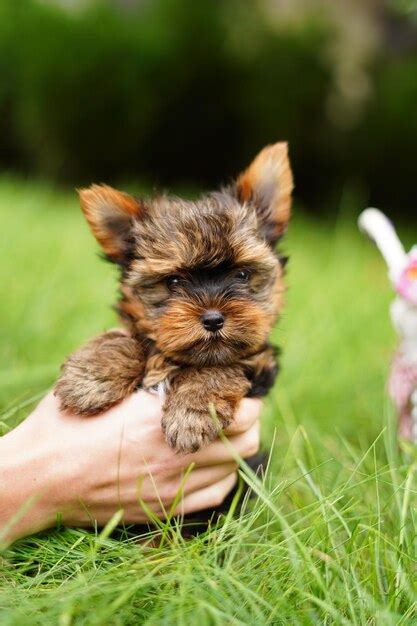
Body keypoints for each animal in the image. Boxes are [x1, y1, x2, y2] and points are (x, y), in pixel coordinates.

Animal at [55, 143, 292, 448]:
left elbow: (222, 365)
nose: (213, 319)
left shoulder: (260, 363)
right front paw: (91, 377)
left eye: (242, 274)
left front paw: (192, 413)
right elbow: (127, 338)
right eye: (173, 281)